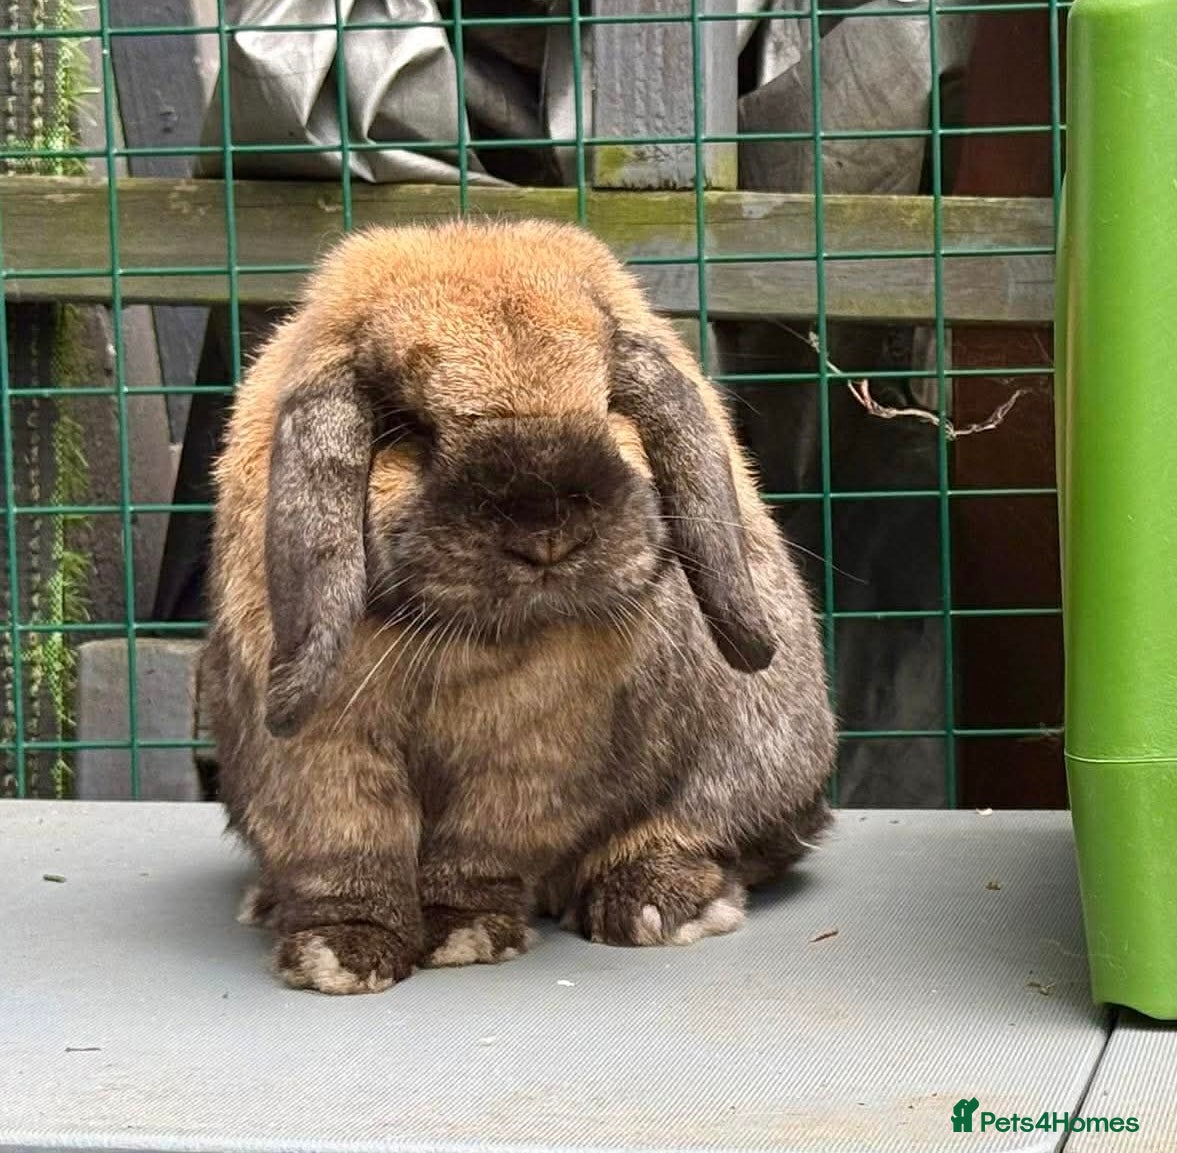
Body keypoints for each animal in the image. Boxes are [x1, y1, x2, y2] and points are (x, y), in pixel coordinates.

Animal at [201, 218, 837, 995]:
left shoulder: (528, 764)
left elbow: (478, 850)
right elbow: (347, 852)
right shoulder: (323, 759)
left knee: (718, 835)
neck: (463, 638)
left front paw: (462, 932)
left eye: (609, 402)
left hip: (750, 761)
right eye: (407, 426)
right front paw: (341, 953)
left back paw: (654, 903)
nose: (547, 528)